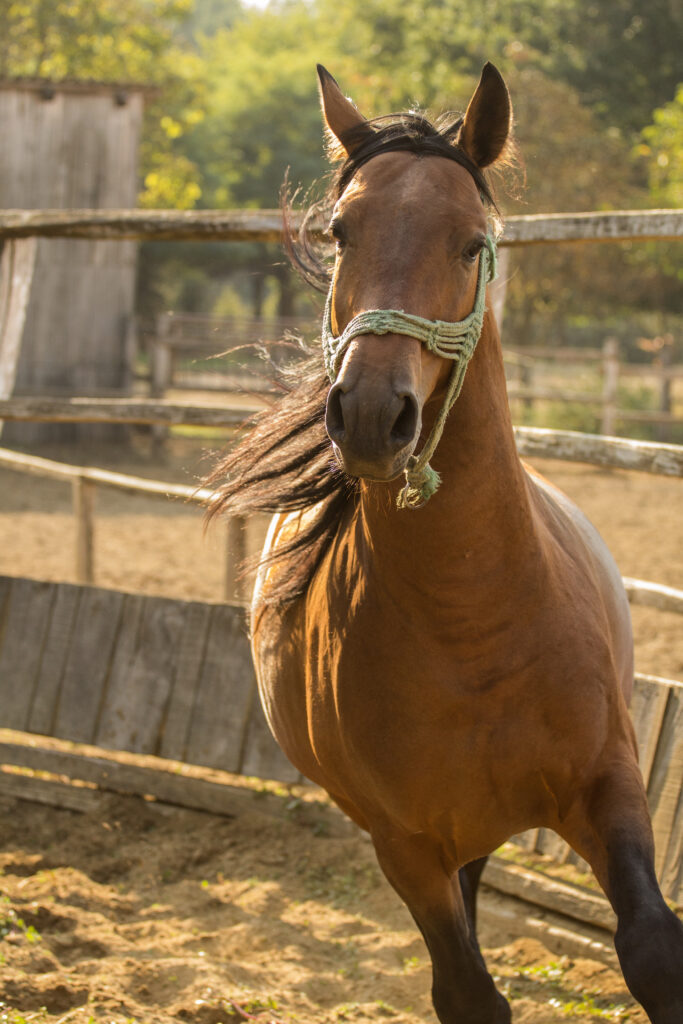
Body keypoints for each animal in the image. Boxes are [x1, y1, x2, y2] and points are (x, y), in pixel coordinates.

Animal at [209, 66, 683, 1024]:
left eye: (471, 244)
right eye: (339, 232)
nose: (367, 414)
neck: (474, 623)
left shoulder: (607, 786)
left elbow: (653, 949)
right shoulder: (406, 843)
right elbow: (466, 993)